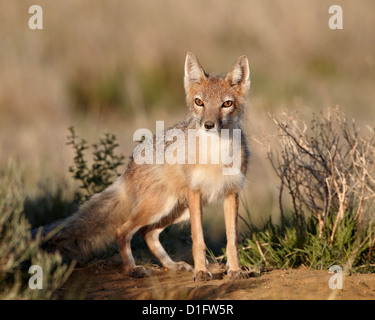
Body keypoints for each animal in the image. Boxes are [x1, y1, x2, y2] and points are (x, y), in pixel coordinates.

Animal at [49, 52, 250, 280]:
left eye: (227, 104)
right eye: (199, 102)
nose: (208, 125)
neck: (216, 156)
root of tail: (129, 166)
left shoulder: (231, 193)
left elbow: (232, 240)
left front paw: (235, 271)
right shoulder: (195, 192)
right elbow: (198, 239)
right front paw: (201, 272)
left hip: (177, 210)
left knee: (148, 233)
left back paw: (172, 265)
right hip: (161, 207)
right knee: (123, 231)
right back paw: (132, 269)